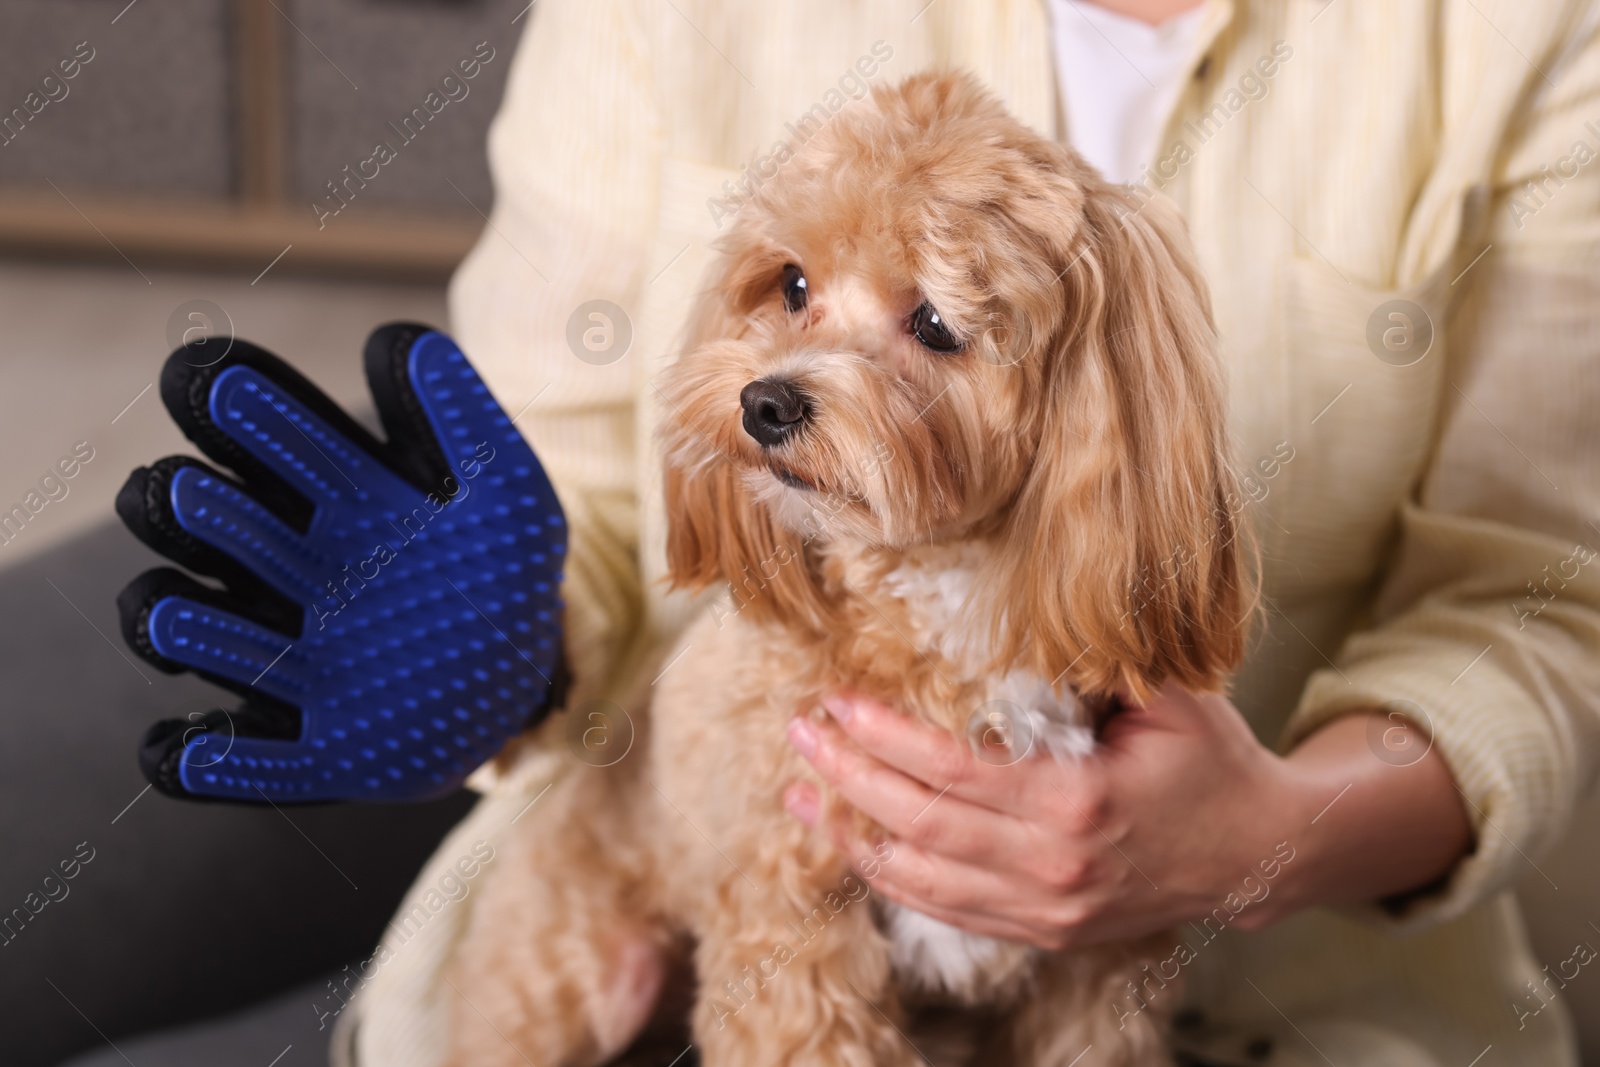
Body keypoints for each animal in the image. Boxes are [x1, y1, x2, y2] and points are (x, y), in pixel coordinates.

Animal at [448, 70, 1248, 1062]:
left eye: (936, 323)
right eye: (793, 283)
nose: (764, 402)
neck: (942, 601)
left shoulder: (1101, 965)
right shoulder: (788, 937)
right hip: (575, 974)